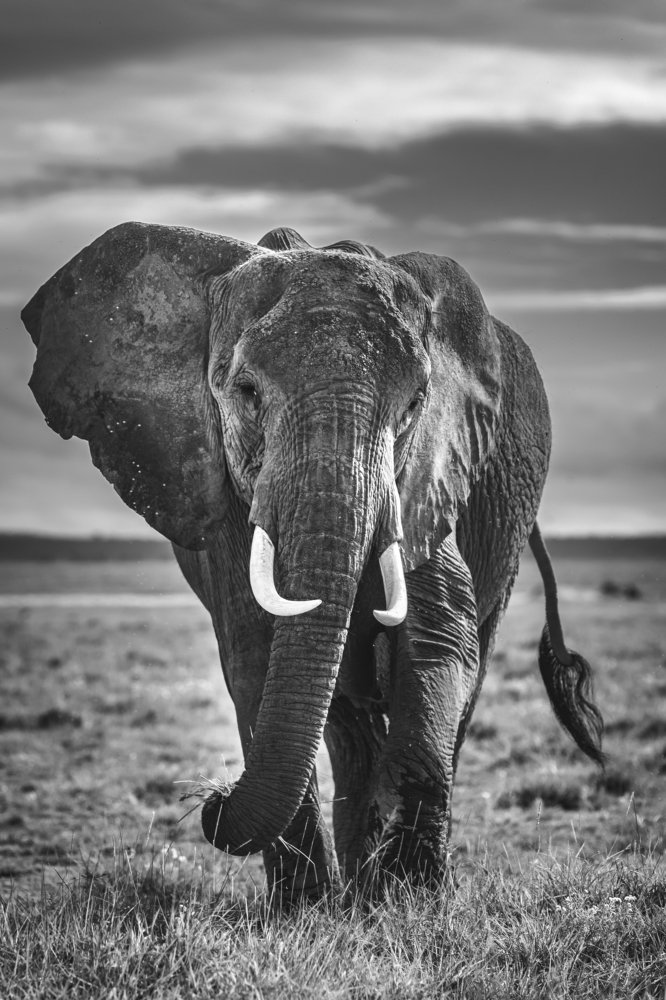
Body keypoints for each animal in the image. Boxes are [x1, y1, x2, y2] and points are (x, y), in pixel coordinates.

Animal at [22, 221, 604, 900]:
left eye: (414, 406)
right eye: (246, 393)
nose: (211, 799)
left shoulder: (430, 473)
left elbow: (440, 636)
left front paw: (411, 901)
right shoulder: (226, 496)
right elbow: (251, 652)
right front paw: (306, 909)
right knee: (344, 720)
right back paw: (353, 888)